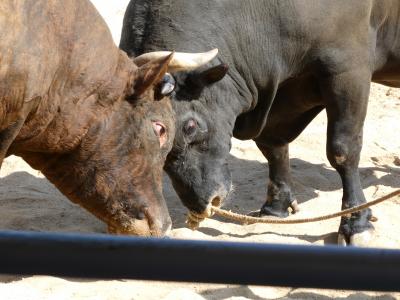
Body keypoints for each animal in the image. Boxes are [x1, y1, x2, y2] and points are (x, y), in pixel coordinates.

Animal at [120, 0, 400, 245]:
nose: (205, 202)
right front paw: (275, 207)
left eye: (189, 126)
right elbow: (271, 146)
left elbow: (342, 150)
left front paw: (356, 222)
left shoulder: (347, 70)